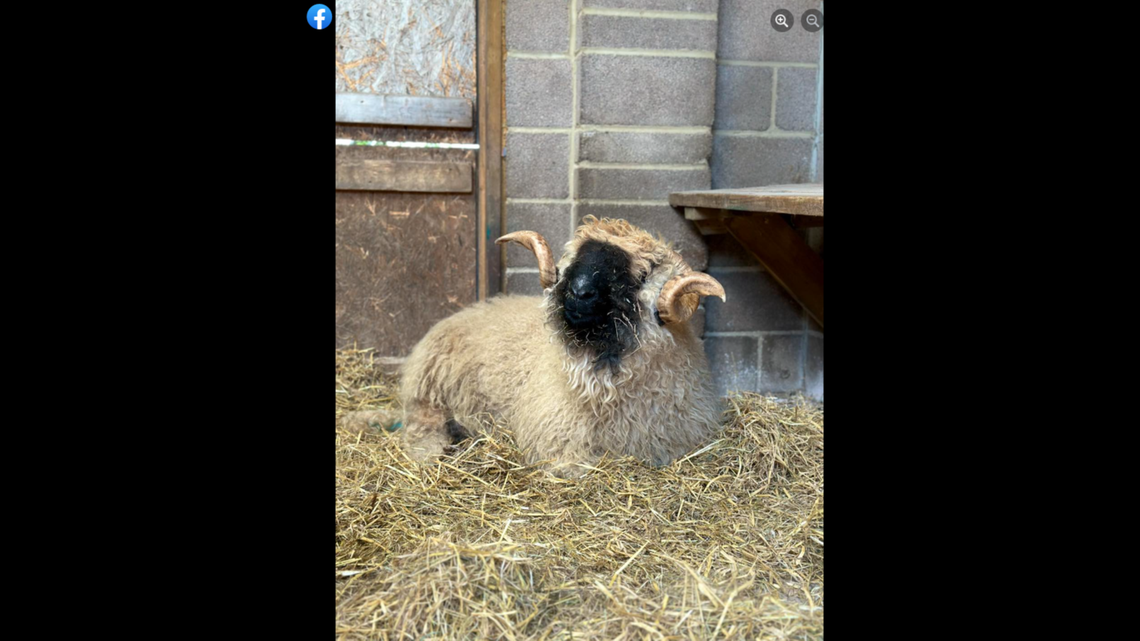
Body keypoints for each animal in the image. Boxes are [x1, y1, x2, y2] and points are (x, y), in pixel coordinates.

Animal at [346, 216, 727, 476]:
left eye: (644, 273)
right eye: (574, 257)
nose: (579, 292)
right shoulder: (556, 443)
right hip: (429, 393)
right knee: (419, 428)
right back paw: (438, 448)